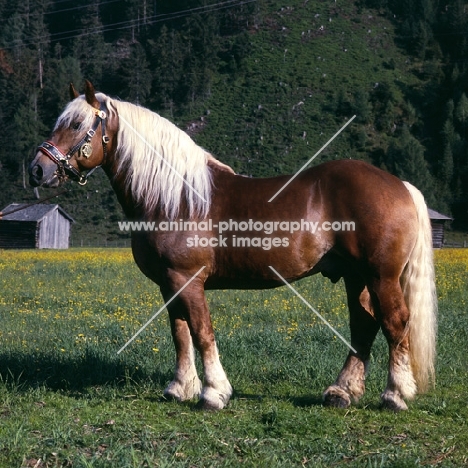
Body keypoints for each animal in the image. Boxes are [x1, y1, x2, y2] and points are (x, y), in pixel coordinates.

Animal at [29, 82, 436, 412]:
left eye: (77, 125)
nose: (37, 170)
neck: (176, 199)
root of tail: (400, 184)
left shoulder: (188, 280)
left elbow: (202, 332)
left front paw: (213, 394)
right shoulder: (169, 284)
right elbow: (180, 334)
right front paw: (180, 388)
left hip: (381, 277)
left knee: (394, 323)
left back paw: (395, 395)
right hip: (356, 277)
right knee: (364, 325)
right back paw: (341, 392)